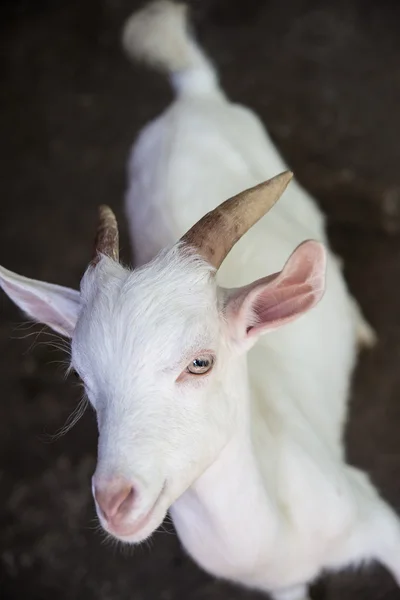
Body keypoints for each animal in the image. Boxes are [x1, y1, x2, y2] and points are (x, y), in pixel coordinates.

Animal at [0, 2, 400, 596]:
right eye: (82, 377)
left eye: (200, 363)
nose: (116, 501)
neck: (277, 533)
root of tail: (192, 93)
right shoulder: (282, 584)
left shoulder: (372, 515)